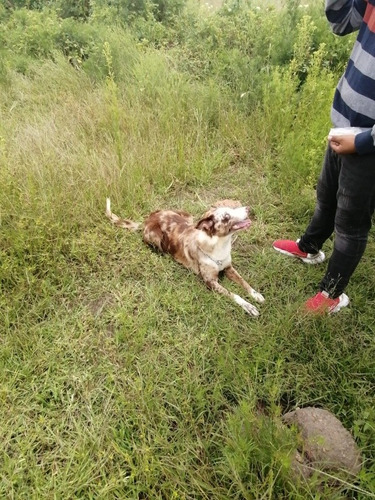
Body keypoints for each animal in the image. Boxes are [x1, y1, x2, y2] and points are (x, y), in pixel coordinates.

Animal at [106, 197, 264, 314]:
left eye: (231, 209)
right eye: (226, 216)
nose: (248, 208)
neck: (219, 245)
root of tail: (147, 219)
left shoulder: (229, 268)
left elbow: (244, 282)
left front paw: (256, 294)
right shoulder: (211, 282)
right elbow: (234, 295)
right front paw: (248, 306)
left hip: (188, 216)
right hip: (155, 237)